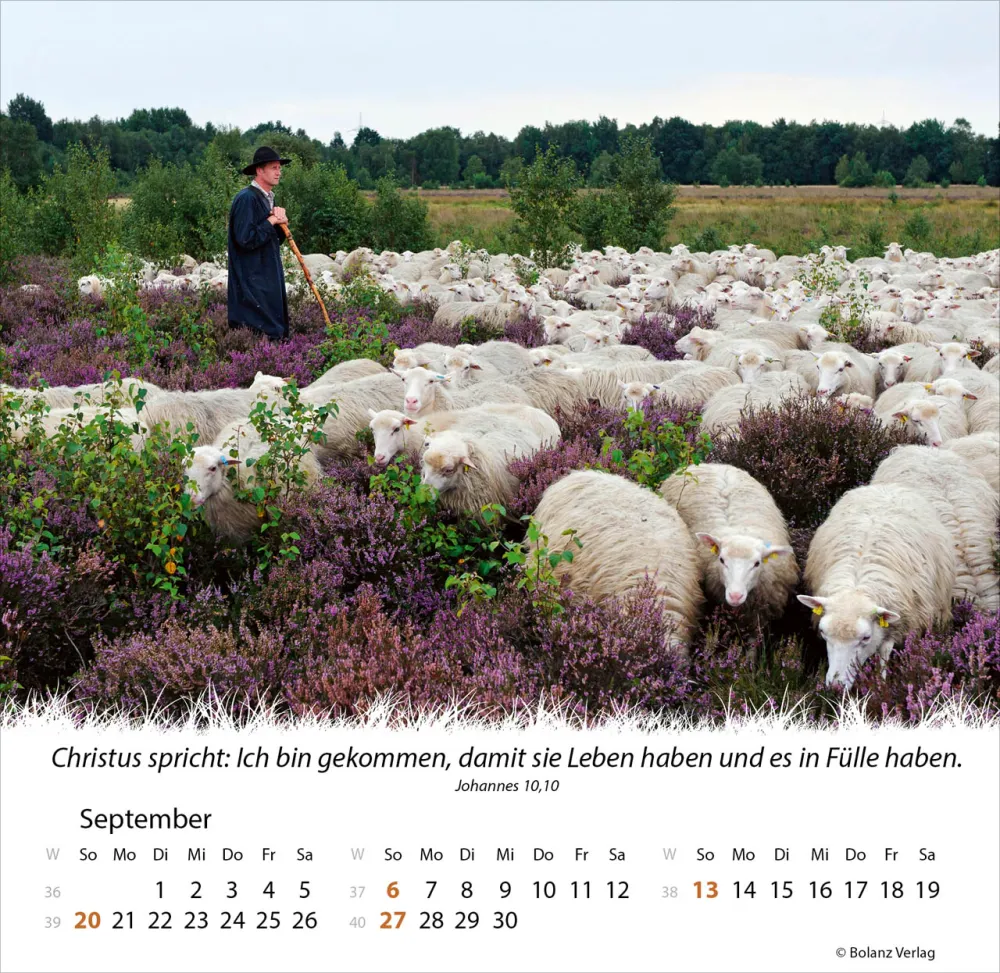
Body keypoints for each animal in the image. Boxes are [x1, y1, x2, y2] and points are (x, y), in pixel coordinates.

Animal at [797, 483, 956, 688]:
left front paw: (881, 683)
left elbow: (884, 653)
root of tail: (889, 486)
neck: (858, 585)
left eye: (866, 638)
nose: (836, 686)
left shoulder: (901, 622)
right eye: (824, 633)